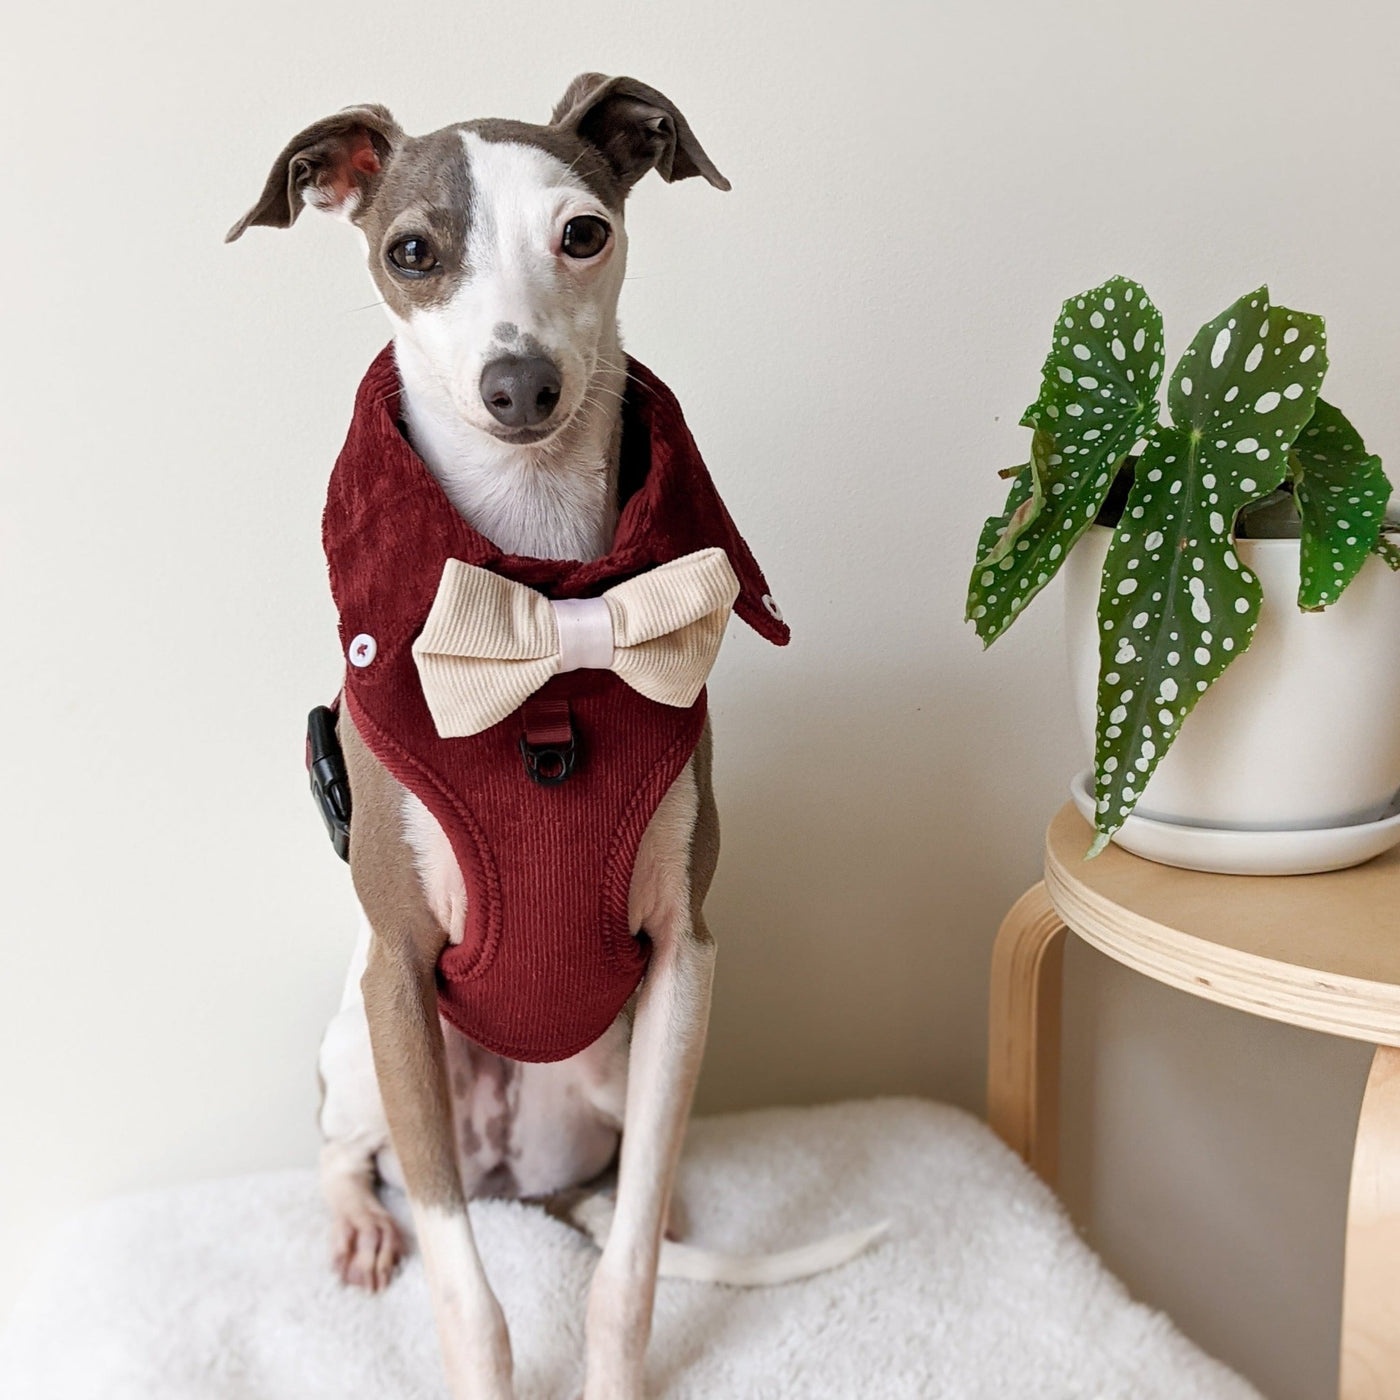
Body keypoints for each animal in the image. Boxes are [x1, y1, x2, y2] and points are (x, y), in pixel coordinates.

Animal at [232, 76, 873, 1400]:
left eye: (582, 232)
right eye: (410, 251)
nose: (517, 384)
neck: (539, 595)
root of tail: (505, 1177)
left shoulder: (684, 962)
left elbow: (621, 1273)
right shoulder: (398, 966)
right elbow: (468, 1300)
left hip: (606, 1065)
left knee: (627, 1187)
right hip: (369, 1046)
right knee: (347, 1151)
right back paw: (359, 1220)